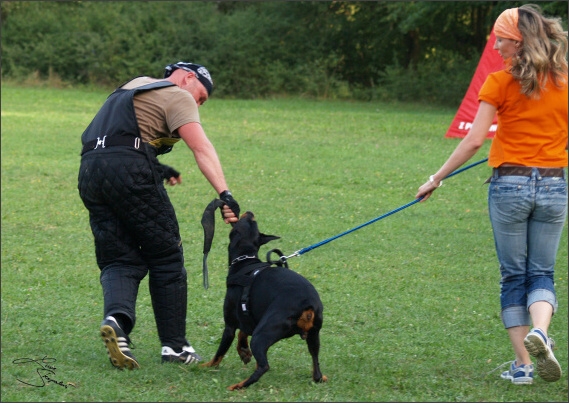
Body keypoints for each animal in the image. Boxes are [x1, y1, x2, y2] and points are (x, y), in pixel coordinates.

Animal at [200, 211, 326, 392]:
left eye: (248, 220)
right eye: (253, 221)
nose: (250, 212)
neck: (245, 259)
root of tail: (307, 305)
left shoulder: (230, 324)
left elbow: (219, 353)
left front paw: (205, 366)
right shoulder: (250, 316)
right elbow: (243, 331)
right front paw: (244, 352)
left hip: (262, 335)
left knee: (264, 366)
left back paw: (239, 385)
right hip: (313, 337)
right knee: (316, 368)